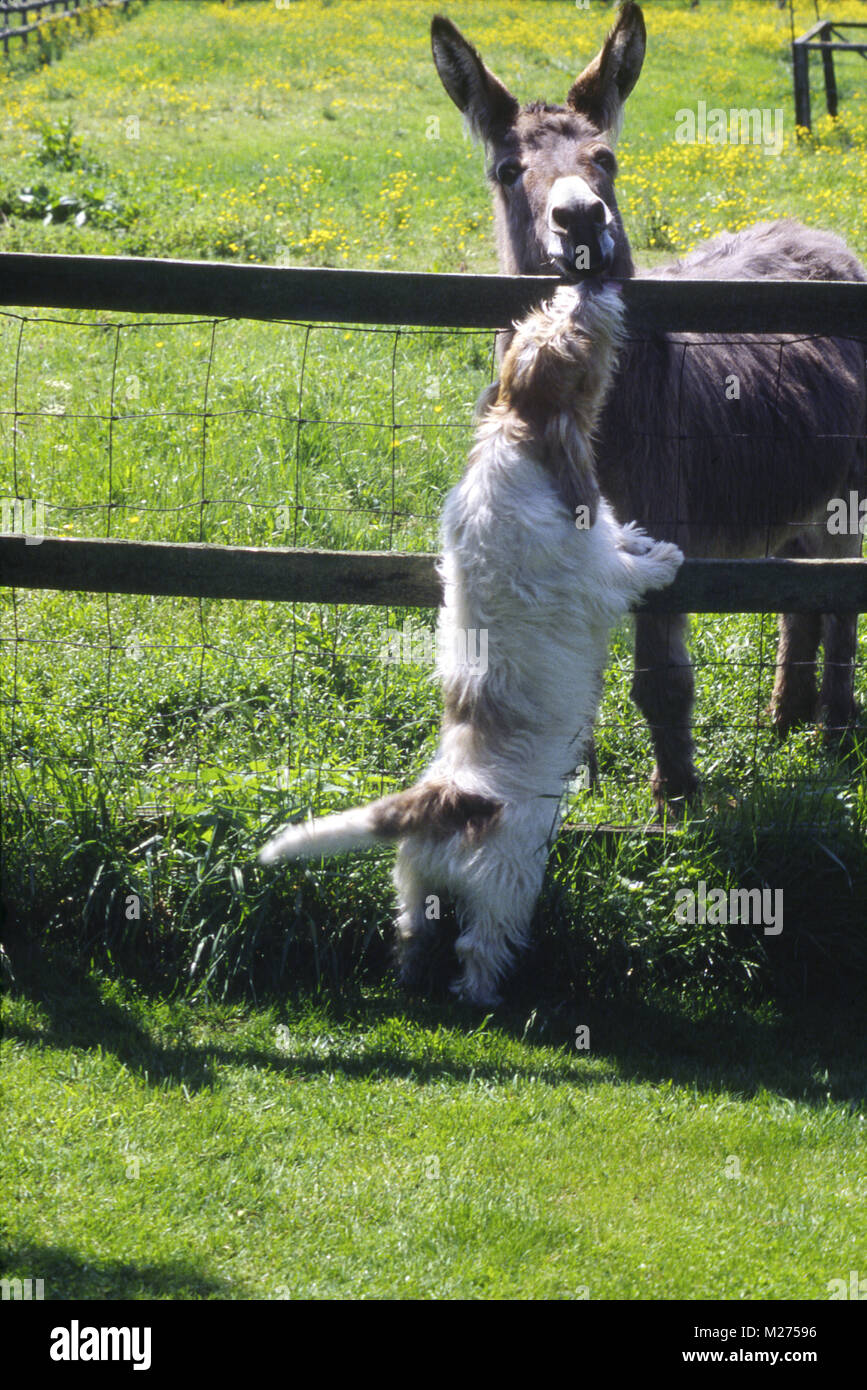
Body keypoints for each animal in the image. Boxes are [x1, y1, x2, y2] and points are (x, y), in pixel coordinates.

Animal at [258, 282, 683, 1006]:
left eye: (547, 315)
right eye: (574, 332)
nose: (587, 284)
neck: (515, 432)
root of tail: (440, 803)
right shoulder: (593, 578)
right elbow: (623, 570)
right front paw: (662, 557)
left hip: (411, 883)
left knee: (412, 932)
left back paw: (410, 980)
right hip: (505, 886)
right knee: (477, 945)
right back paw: (483, 998)